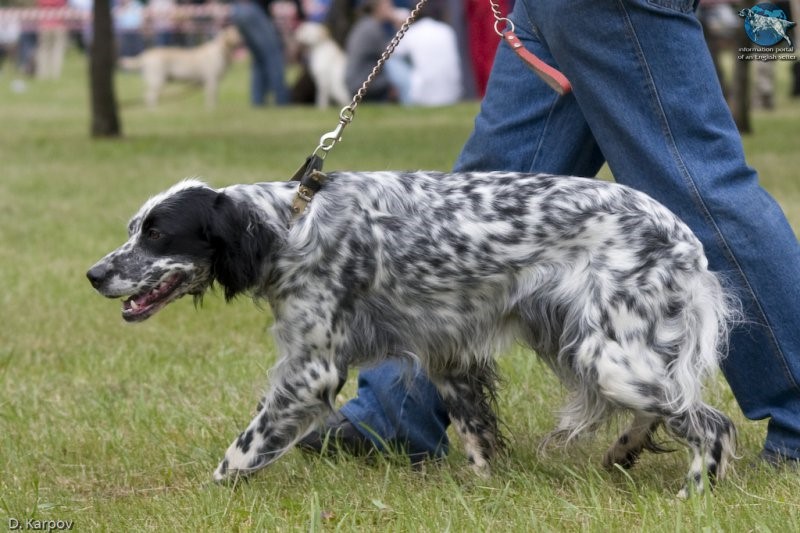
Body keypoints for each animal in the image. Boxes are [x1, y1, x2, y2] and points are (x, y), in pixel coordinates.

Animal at [87, 172, 736, 496]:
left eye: (157, 234)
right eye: (133, 228)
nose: (94, 274)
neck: (286, 227)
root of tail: (683, 235)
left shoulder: (310, 370)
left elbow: (241, 450)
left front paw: (206, 492)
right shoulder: (449, 351)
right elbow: (477, 434)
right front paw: (483, 487)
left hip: (607, 355)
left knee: (711, 424)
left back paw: (692, 494)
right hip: (591, 346)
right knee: (668, 405)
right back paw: (625, 449)